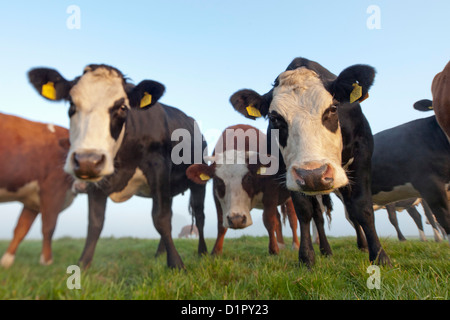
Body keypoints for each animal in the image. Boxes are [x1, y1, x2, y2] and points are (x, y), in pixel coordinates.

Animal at [0, 112, 76, 268]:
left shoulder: (33, 202)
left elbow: (21, 229)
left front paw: (6, 262)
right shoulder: (53, 189)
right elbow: (49, 226)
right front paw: (46, 261)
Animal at [29, 63, 208, 268]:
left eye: (122, 107)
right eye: (72, 104)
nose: (87, 160)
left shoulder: (158, 167)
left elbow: (161, 218)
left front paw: (176, 264)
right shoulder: (96, 181)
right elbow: (95, 222)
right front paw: (83, 264)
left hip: (198, 181)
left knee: (199, 216)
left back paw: (203, 252)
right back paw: (159, 253)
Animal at [229, 56, 390, 266]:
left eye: (332, 109)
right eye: (274, 118)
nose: (314, 174)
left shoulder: (362, 153)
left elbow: (362, 207)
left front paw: (379, 256)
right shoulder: (289, 172)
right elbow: (305, 211)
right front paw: (306, 257)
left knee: (349, 208)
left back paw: (362, 245)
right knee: (318, 216)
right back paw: (326, 250)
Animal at [370, 116, 448, 246]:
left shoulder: (390, 202)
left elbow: (393, 219)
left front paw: (402, 239)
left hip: (424, 198)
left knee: (429, 216)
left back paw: (437, 238)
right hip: (410, 203)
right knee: (417, 216)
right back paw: (423, 238)